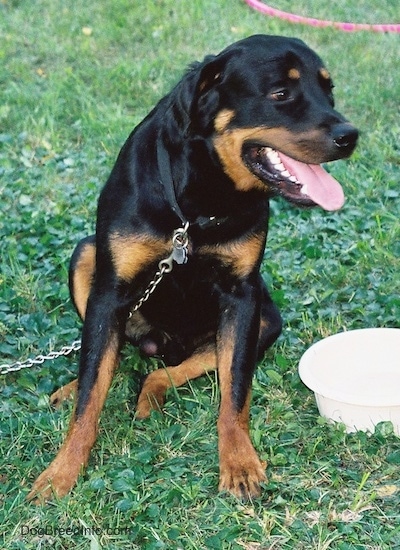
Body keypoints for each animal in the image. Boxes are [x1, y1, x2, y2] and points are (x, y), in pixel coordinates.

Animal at [28, 33, 360, 500]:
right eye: (280, 93)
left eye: (328, 90)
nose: (350, 136)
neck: (199, 203)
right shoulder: (109, 293)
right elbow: (91, 395)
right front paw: (61, 473)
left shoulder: (243, 296)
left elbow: (236, 391)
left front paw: (239, 462)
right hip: (85, 257)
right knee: (109, 358)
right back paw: (75, 386)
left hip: (265, 318)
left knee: (167, 372)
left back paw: (149, 396)